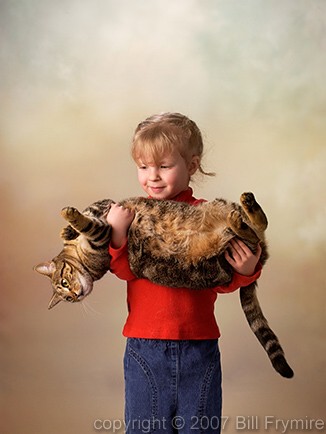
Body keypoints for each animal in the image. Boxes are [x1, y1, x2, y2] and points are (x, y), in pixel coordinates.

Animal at [34, 192, 294, 378]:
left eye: (64, 283)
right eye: (66, 297)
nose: (76, 295)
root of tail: (262, 257)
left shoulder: (104, 212)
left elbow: (87, 218)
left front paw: (68, 224)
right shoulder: (103, 239)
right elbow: (92, 225)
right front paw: (71, 225)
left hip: (222, 208)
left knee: (259, 226)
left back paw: (248, 205)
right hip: (228, 256)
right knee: (253, 232)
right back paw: (241, 219)